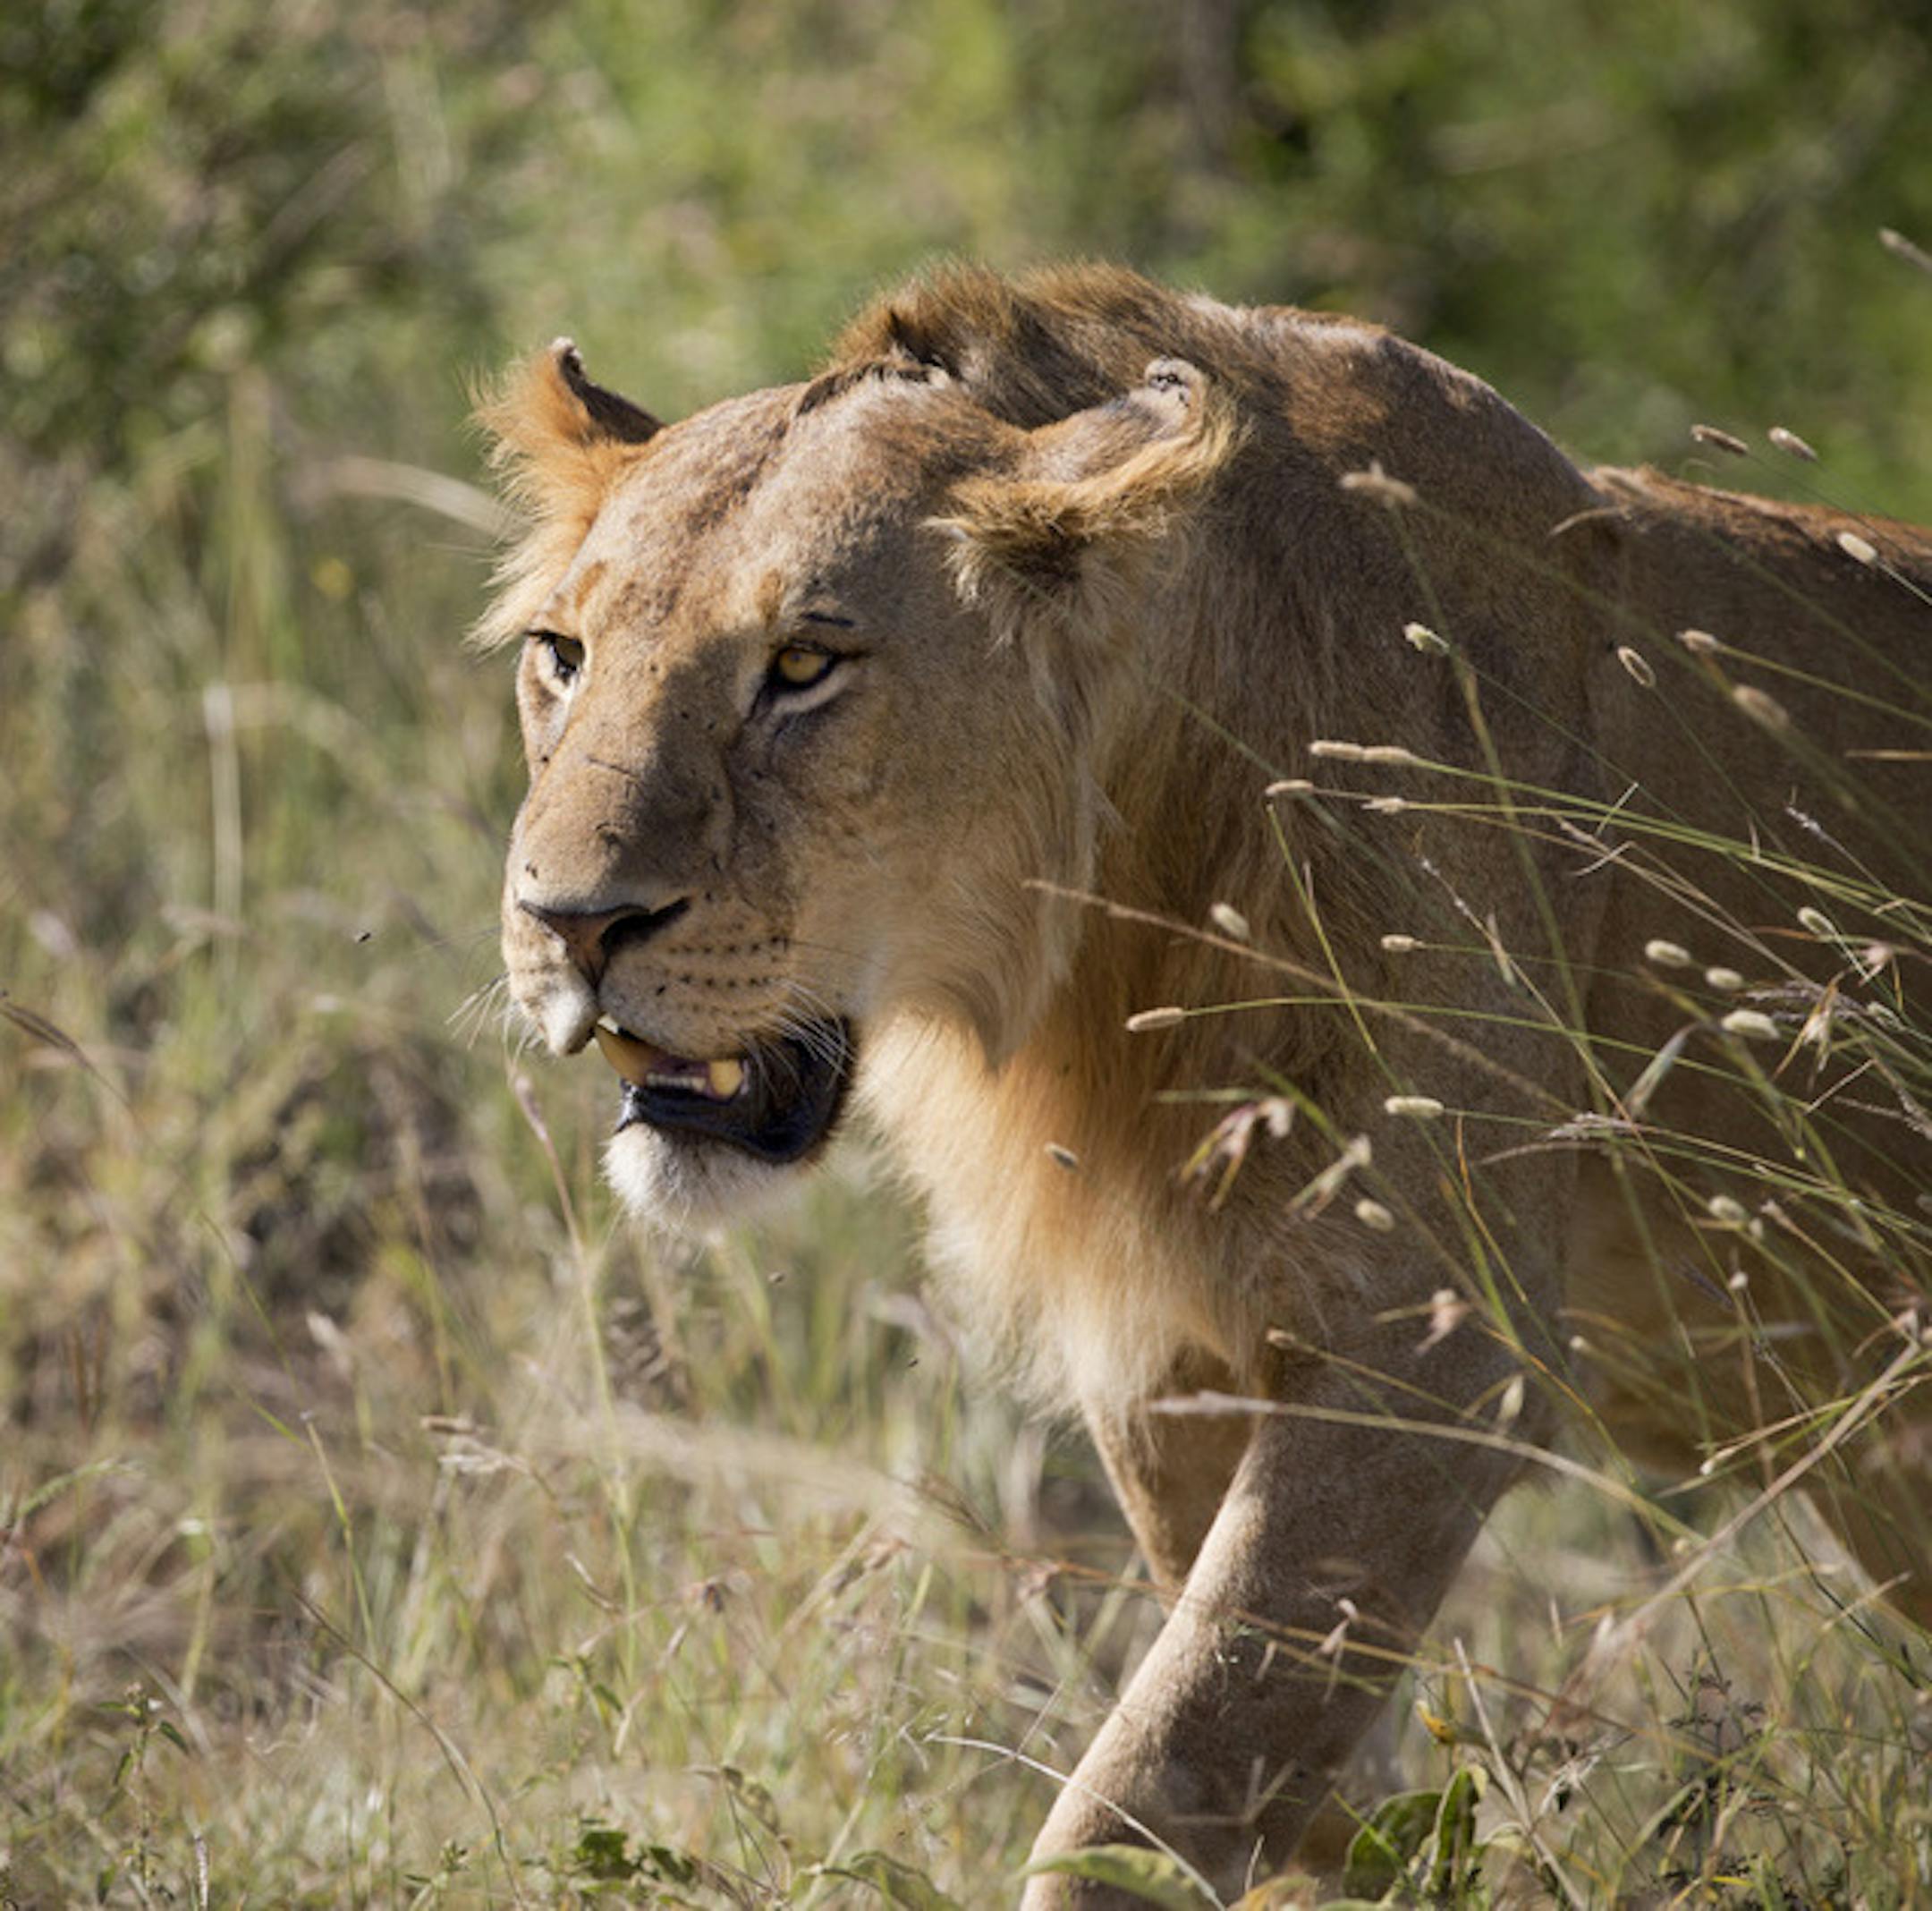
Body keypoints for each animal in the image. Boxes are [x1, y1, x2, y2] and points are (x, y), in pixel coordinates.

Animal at [480, 264, 1931, 1904]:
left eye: (803, 666)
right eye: (562, 655)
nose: (566, 922)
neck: (1110, 942)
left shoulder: (1439, 1346)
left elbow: (1150, 1781)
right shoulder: (1172, 1360)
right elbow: (1250, 1738)